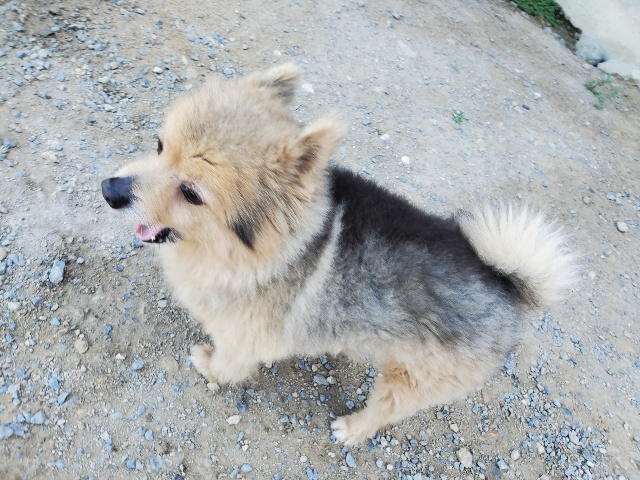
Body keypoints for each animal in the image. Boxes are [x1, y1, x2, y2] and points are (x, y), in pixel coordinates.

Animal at [101, 64, 576, 445]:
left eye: (191, 193)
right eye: (159, 146)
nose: (110, 190)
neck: (273, 248)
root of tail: (506, 284)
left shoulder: (242, 337)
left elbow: (229, 364)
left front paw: (209, 366)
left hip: (413, 379)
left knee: (387, 409)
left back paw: (352, 429)